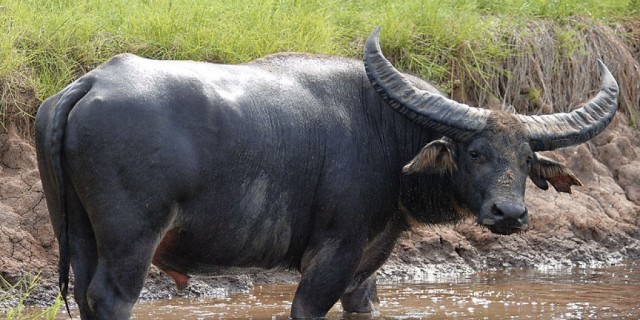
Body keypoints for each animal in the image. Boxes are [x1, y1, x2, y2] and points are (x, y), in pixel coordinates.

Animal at [36, 26, 620, 318]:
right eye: (474, 151)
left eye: (526, 159)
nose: (510, 213)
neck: (385, 133)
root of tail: (88, 84)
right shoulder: (330, 258)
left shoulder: (366, 266)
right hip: (131, 241)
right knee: (111, 299)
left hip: (79, 234)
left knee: (84, 296)